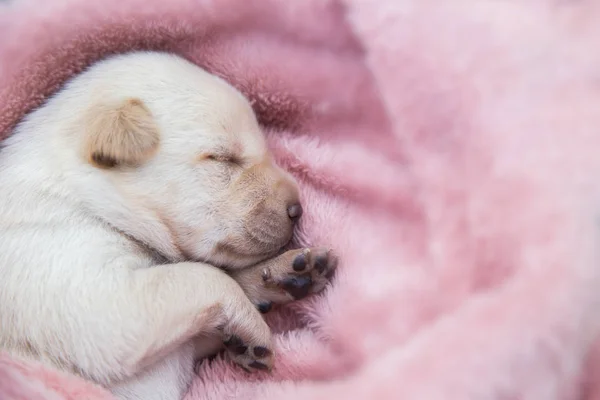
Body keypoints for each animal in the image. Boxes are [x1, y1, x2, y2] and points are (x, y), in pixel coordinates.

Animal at [0, 52, 338, 400]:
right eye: (223, 158)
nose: (297, 210)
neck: (89, 200)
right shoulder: (93, 294)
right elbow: (203, 276)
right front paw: (251, 324)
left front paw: (280, 276)